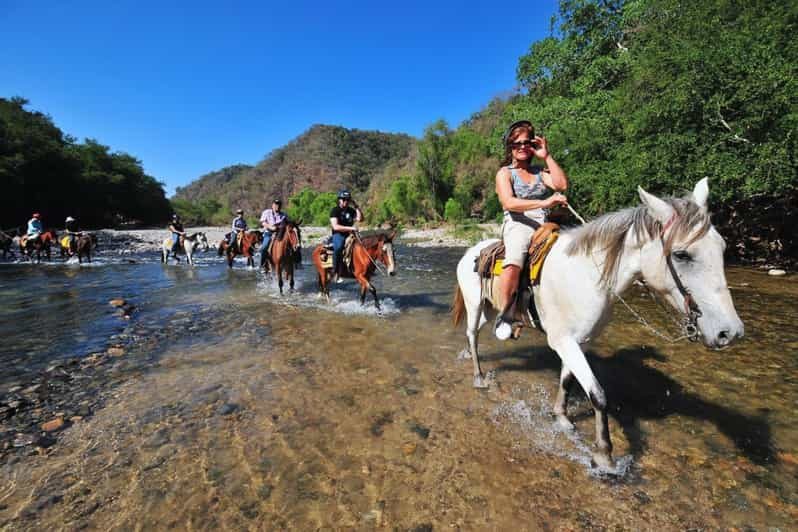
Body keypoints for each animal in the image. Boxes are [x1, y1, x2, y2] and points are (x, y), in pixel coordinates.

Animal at [454, 178, 748, 466]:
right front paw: (604, 454)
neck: (586, 276)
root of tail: (471, 251)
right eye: (681, 255)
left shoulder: (578, 341)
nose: (729, 332)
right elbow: (598, 394)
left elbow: (567, 381)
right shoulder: (562, 341)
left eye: (722, 248)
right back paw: (479, 377)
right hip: (475, 304)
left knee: (474, 333)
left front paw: (561, 417)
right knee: (472, 334)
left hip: (489, 309)